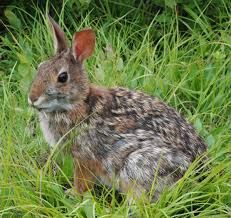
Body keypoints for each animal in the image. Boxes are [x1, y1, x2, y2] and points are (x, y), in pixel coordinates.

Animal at [28, 17, 207, 200]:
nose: (32, 98)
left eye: (62, 77)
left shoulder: (84, 157)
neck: (79, 103)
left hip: (137, 165)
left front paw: (73, 194)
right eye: (40, 67)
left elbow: (82, 181)